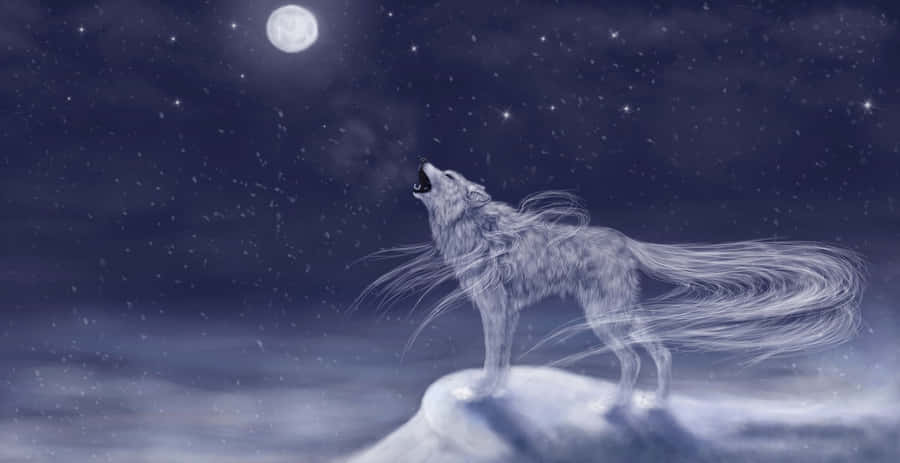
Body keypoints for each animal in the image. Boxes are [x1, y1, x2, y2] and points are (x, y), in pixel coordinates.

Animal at [355, 162, 865, 406]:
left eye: (448, 174)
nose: (424, 160)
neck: (471, 225)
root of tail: (625, 240)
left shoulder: (496, 309)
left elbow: (491, 358)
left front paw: (481, 393)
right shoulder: (505, 313)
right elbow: (500, 358)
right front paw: (495, 391)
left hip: (604, 317)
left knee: (633, 359)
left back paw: (615, 406)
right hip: (622, 311)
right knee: (661, 352)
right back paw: (655, 403)